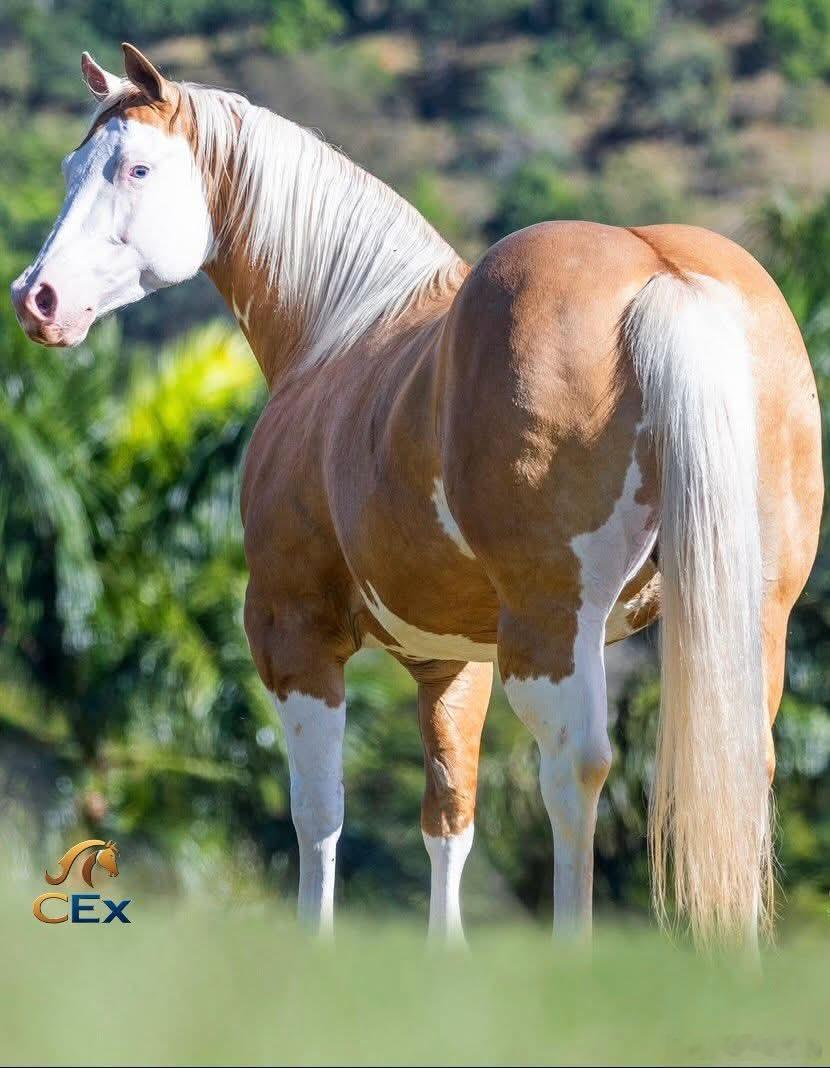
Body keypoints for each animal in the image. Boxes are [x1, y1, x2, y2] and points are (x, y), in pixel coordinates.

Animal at [12, 44, 822, 948]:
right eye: (72, 167)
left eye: (137, 167)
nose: (36, 299)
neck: (344, 328)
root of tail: (660, 274)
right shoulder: (453, 665)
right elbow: (449, 818)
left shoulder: (295, 635)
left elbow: (318, 815)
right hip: (749, 619)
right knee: (740, 765)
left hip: (551, 629)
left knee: (575, 766)